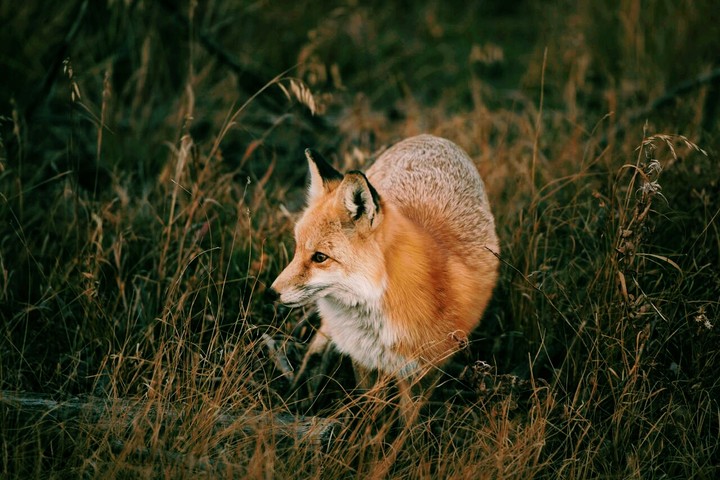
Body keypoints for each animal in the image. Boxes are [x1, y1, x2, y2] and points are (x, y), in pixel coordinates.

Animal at [271, 134, 499, 419]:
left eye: (320, 257)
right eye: (297, 249)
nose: (271, 292)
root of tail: (431, 137)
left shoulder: (424, 368)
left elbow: (408, 423)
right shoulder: (363, 358)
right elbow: (370, 409)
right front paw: (366, 430)